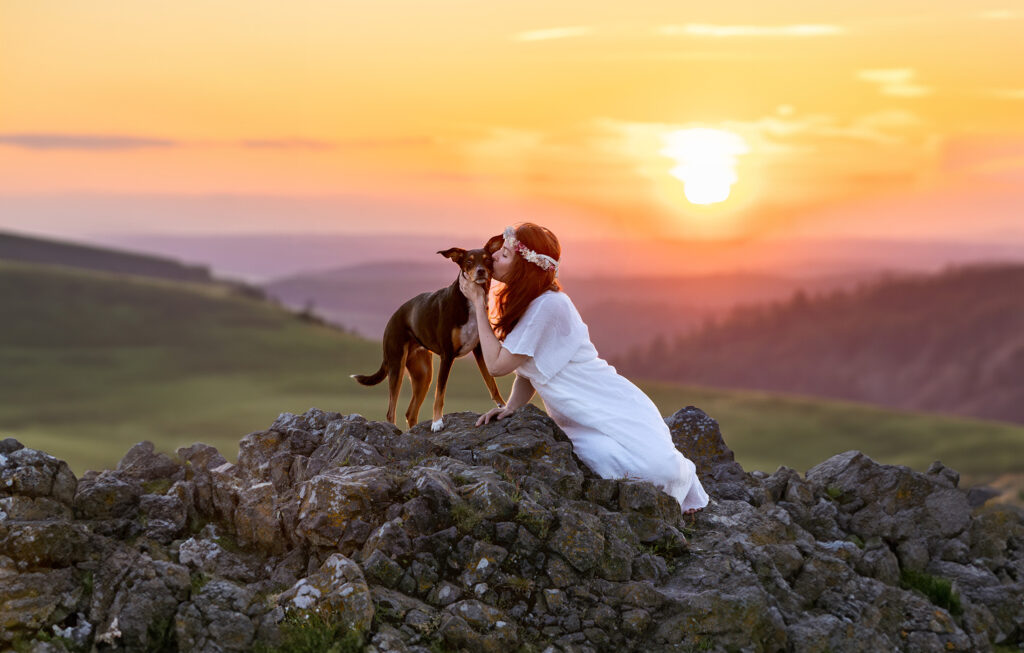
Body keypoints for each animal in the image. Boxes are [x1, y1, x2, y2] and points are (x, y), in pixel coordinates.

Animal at [354, 237, 505, 431]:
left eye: (487, 260)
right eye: (469, 262)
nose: (480, 271)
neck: (469, 301)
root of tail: (393, 318)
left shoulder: (479, 349)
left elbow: (491, 383)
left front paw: (503, 406)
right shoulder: (447, 355)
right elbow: (440, 393)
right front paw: (437, 422)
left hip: (423, 374)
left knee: (410, 412)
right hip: (397, 366)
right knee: (391, 411)